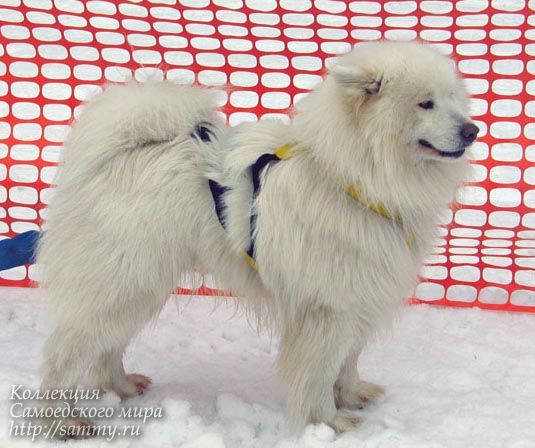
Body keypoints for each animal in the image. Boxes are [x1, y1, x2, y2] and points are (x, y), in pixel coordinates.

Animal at [39, 41, 480, 434]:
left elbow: (347, 362)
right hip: (124, 281)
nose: (473, 130)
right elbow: (317, 373)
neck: (347, 177)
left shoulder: (357, 297)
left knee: (106, 346)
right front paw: (327, 421)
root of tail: (120, 151)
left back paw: (121, 386)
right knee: (64, 357)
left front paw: (352, 395)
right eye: (425, 104)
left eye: (453, 99)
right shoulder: (326, 309)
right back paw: (63, 422)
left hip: (138, 284)